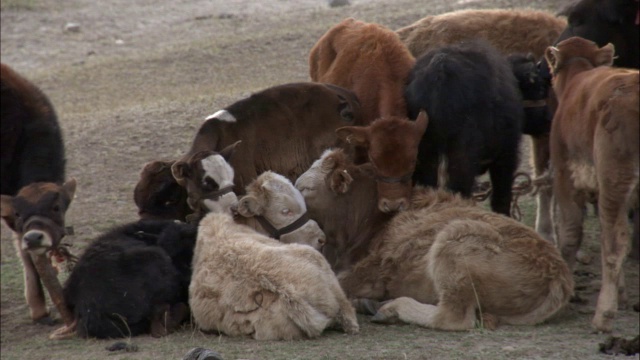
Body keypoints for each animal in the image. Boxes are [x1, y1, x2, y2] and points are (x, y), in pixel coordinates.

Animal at [294, 148, 568, 330]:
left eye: (306, 189)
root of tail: (558, 274)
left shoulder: (369, 271)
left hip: (454, 243)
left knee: (453, 317)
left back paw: (392, 308)